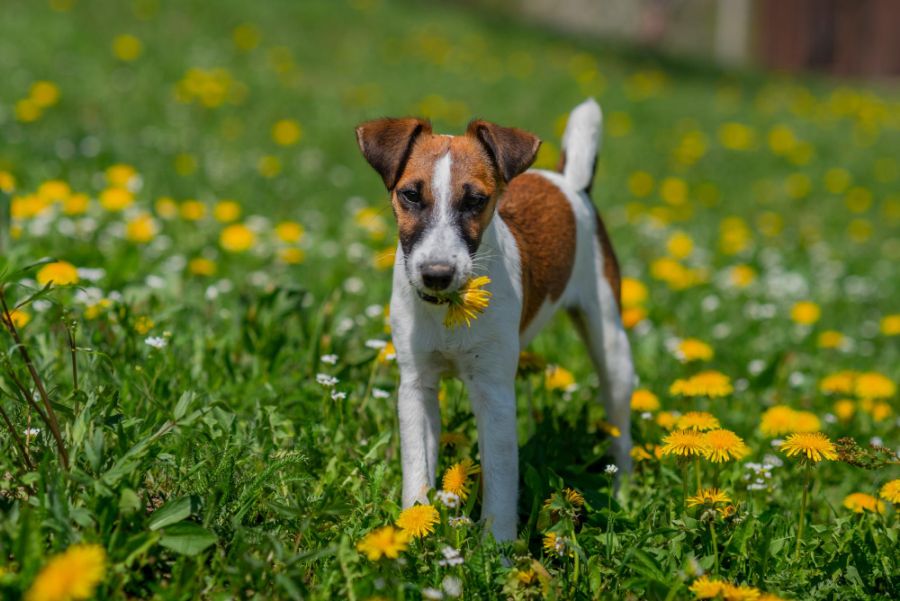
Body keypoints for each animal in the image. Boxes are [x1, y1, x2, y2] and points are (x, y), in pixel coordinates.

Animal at [354, 98, 632, 540]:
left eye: (475, 201)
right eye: (410, 195)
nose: (436, 274)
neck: (448, 308)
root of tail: (570, 183)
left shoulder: (495, 392)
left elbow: (500, 479)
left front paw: (497, 548)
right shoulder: (416, 386)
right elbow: (416, 465)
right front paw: (414, 527)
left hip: (612, 346)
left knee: (621, 429)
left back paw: (622, 489)